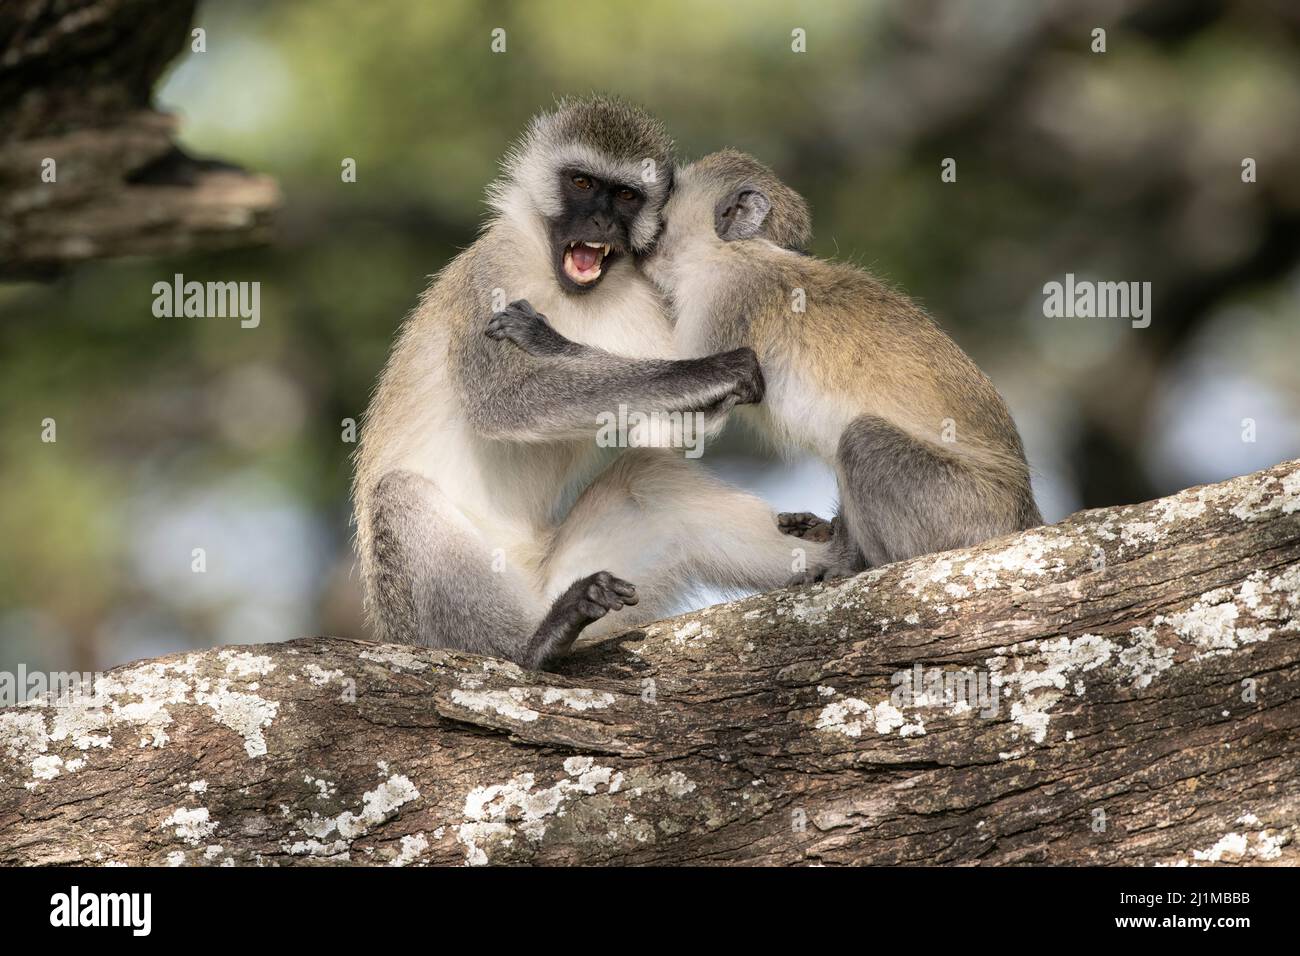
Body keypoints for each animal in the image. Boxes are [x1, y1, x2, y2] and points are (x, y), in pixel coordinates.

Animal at [351, 100, 826, 671]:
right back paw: (534, 645)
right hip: (425, 626)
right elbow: (500, 402)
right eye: (581, 182)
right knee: (399, 497)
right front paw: (713, 371)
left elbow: (661, 434)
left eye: (625, 195)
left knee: (650, 479)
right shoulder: (493, 275)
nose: (600, 221)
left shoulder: (644, 301)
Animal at [491, 149, 1040, 582]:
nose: (637, 229)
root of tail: (1023, 514)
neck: (731, 252)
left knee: (864, 441)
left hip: (963, 511)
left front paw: (546, 339)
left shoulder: (728, 300)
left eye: (667, 199)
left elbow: (688, 405)